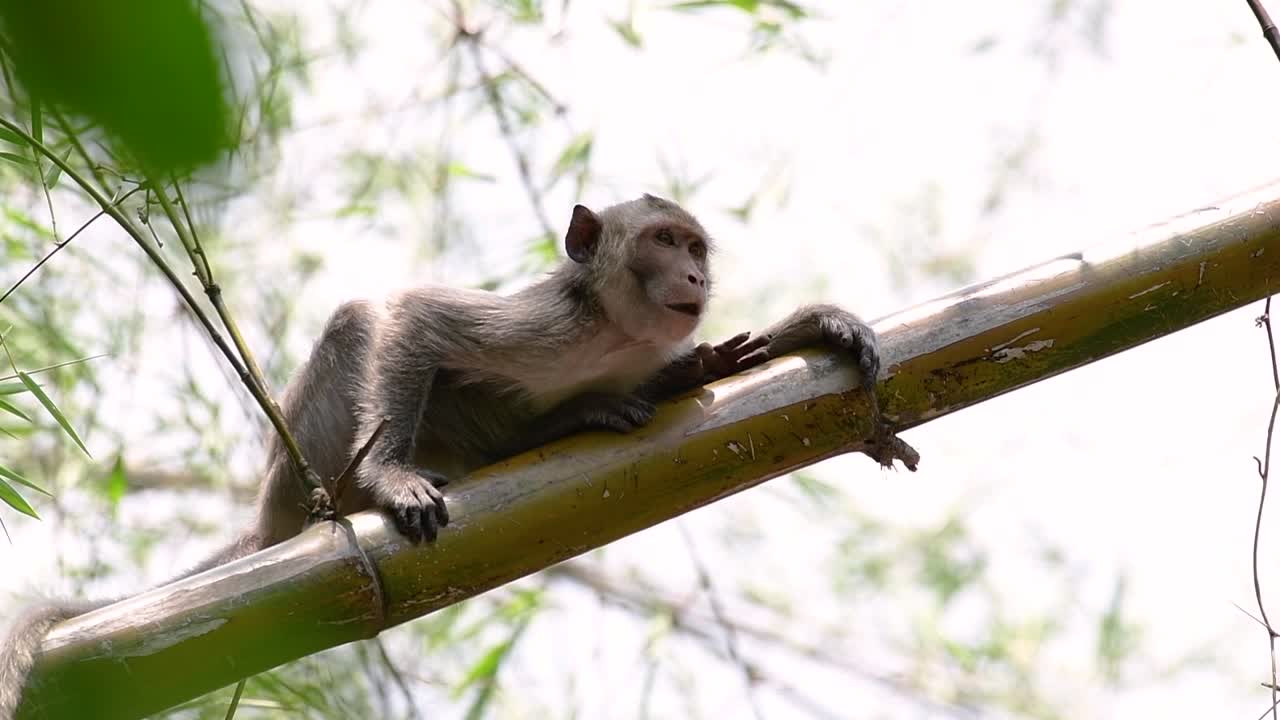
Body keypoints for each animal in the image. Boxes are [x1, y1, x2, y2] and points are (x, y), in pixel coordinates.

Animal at [0, 194, 900, 719]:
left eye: (696, 248)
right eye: (662, 240)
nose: (692, 275)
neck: (612, 334)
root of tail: (273, 511)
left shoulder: (644, 350)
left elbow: (706, 367)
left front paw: (810, 328)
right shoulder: (545, 326)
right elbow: (413, 317)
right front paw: (391, 478)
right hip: (309, 457)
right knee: (360, 324)